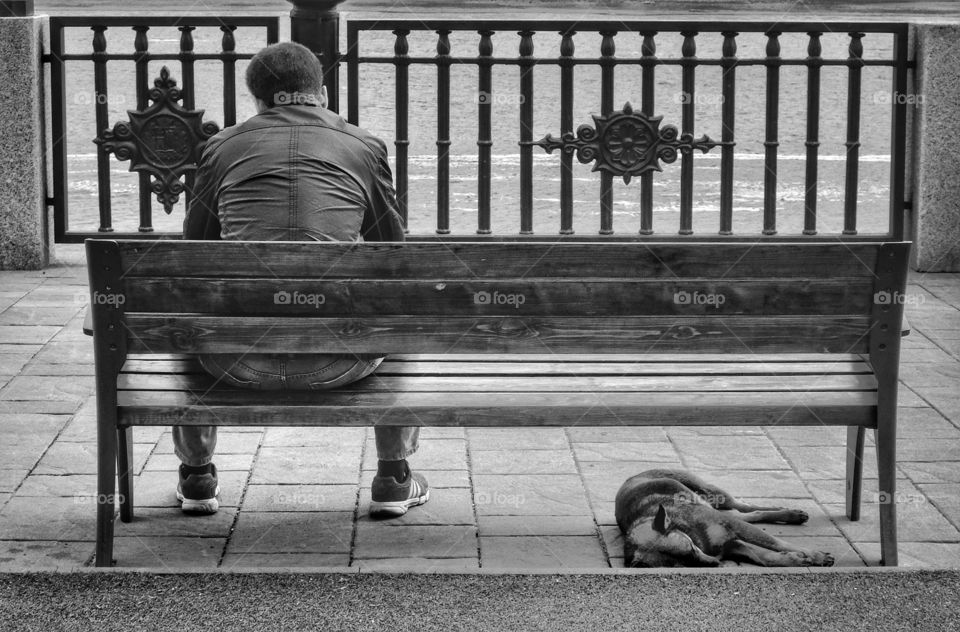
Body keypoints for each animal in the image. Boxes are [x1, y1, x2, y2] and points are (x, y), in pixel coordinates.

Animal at [616, 470, 832, 568]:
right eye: (683, 566)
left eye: (691, 549)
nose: (716, 564)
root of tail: (632, 477)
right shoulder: (734, 545)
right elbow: (766, 557)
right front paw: (795, 559)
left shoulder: (734, 529)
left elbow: (777, 543)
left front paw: (815, 555)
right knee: (747, 514)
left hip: (712, 492)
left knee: (744, 508)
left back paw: (790, 514)